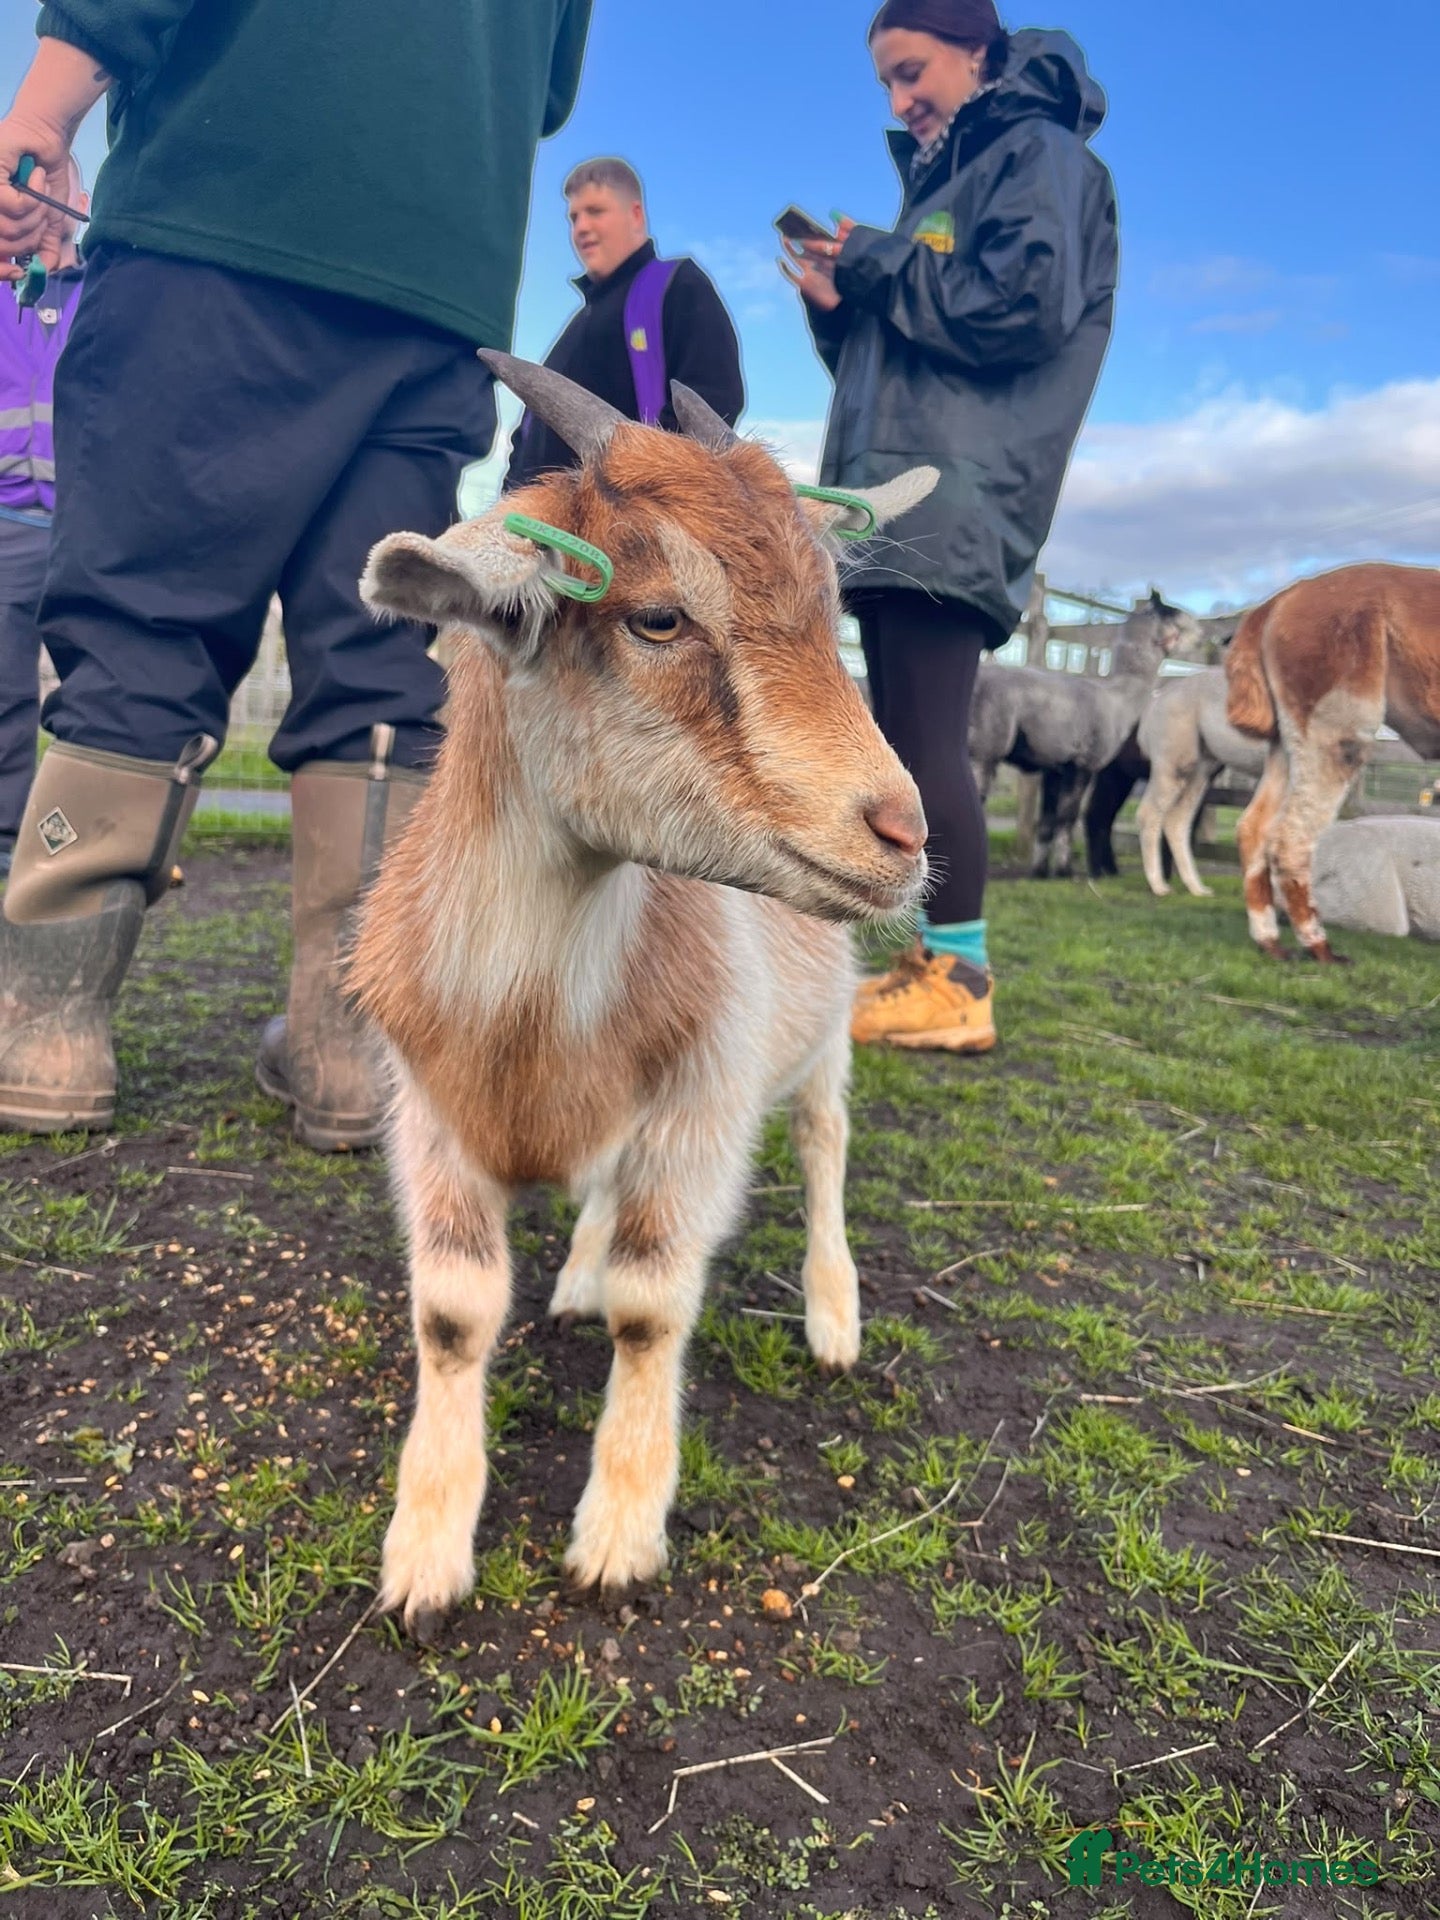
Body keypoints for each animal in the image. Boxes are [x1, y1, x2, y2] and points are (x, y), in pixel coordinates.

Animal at [349, 354, 935, 1633]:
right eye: (657, 616)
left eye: (834, 615)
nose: (903, 832)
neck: (528, 1022)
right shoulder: (428, 1115)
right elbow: (454, 1311)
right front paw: (424, 1553)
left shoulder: (703, 1110)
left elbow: (652, 1305)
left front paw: (618, 1530)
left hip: (820, 1039)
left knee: (824, 1144)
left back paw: (832, 1316)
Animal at [971, 592, 1200, 877]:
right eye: (1172, 612)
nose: (1201, 634)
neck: (1118, 699)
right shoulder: (1083, 763)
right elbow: (1067, 818)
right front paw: (1064, 870)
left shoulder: (1055, 766)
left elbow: (1047, 821)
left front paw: (1040, 871)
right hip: (985, 747)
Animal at [1135, 669, 1268, 896]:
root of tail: (1154, 703)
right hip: (1173, 763)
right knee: (1150, 813)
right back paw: (1159, 886)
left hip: (1200, 769)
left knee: (1177, 820)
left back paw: (1197, 888)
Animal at [1226, 563, 1440, 960]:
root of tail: (1281, 599)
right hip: (1336, 709)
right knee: (1291, 836)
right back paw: (1319, 946)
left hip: (1288, 737)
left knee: (1253, 827)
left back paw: (1270, 941)